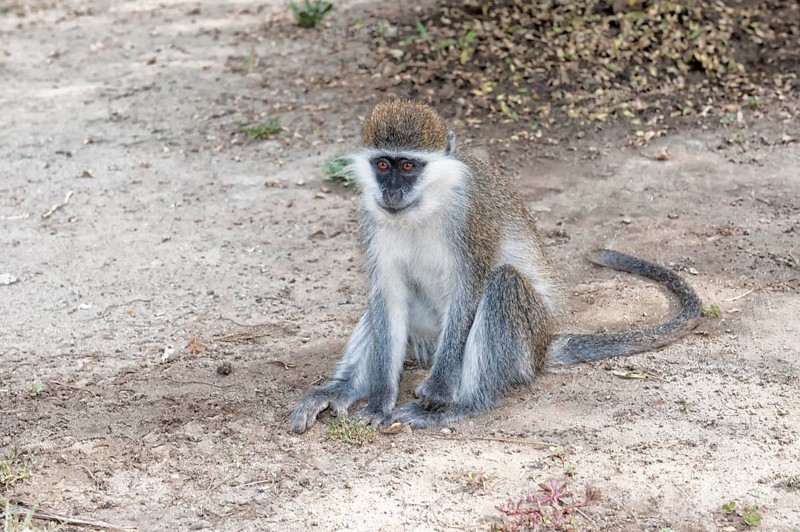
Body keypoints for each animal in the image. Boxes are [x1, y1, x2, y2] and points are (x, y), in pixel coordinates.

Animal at [289, 99, 701, 433]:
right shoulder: (371, 217)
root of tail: (544, 346)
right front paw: (378, 401)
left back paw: (464, 405)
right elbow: (387, 297)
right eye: (382, 164)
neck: (424, 204)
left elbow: (469, 290)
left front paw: (437, 392)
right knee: (379, 307)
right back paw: (342, 389)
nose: (390, 192)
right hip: (425, 337)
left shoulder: (472, 215)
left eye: (408, 166)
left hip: (523, 341)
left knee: (503, 283)